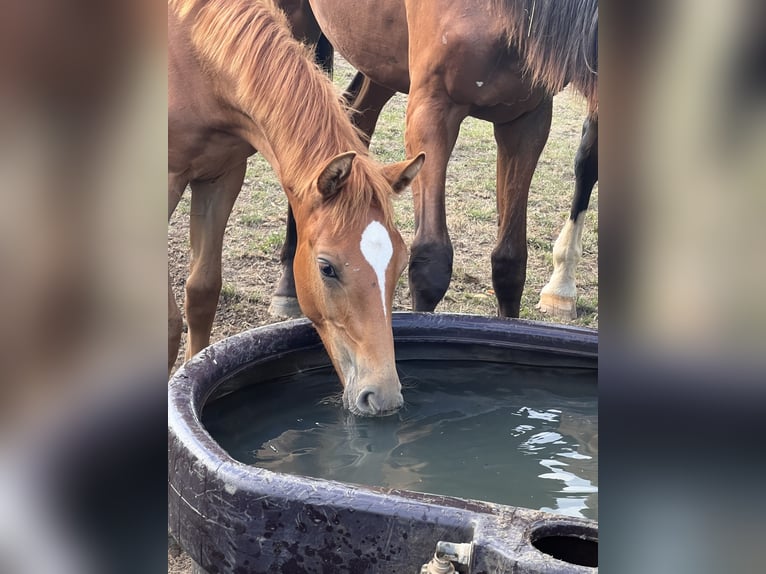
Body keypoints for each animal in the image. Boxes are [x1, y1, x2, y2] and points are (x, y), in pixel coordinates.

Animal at [167, 0, 426, 416]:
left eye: (400, 262)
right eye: (327, 268)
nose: (382, 396)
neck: (192, 55)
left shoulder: (222, 175)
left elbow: (203, 292)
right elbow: (170, 323)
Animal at [270, 0, 600, 322]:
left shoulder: (526, 120)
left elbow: (510, 262)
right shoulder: (431, 112)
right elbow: (431, 262)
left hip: (380, 60)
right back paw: (288, 285)